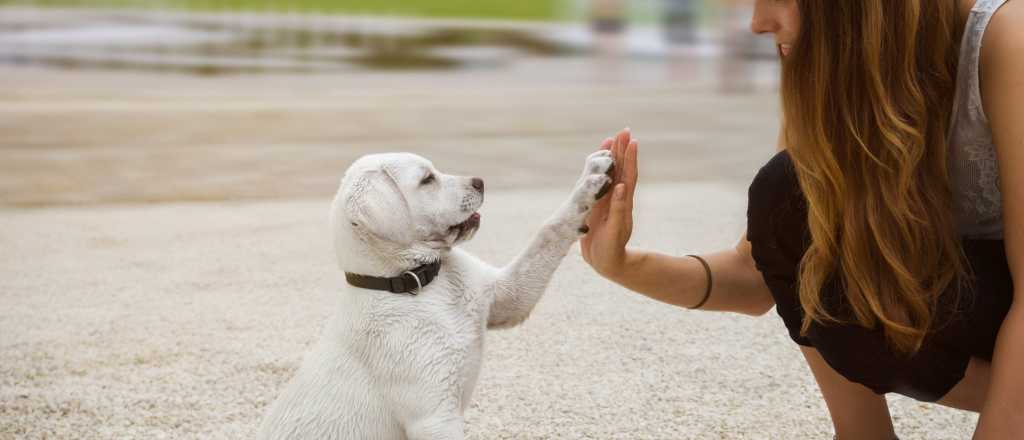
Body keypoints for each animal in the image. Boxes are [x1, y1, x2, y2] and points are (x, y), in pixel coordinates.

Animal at [260, 149, 610, 437]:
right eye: (427, 179)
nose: (480, 182)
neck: (421, 283)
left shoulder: (508, 296)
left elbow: (548, 231)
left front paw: (589, 180)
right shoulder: (434, 416)